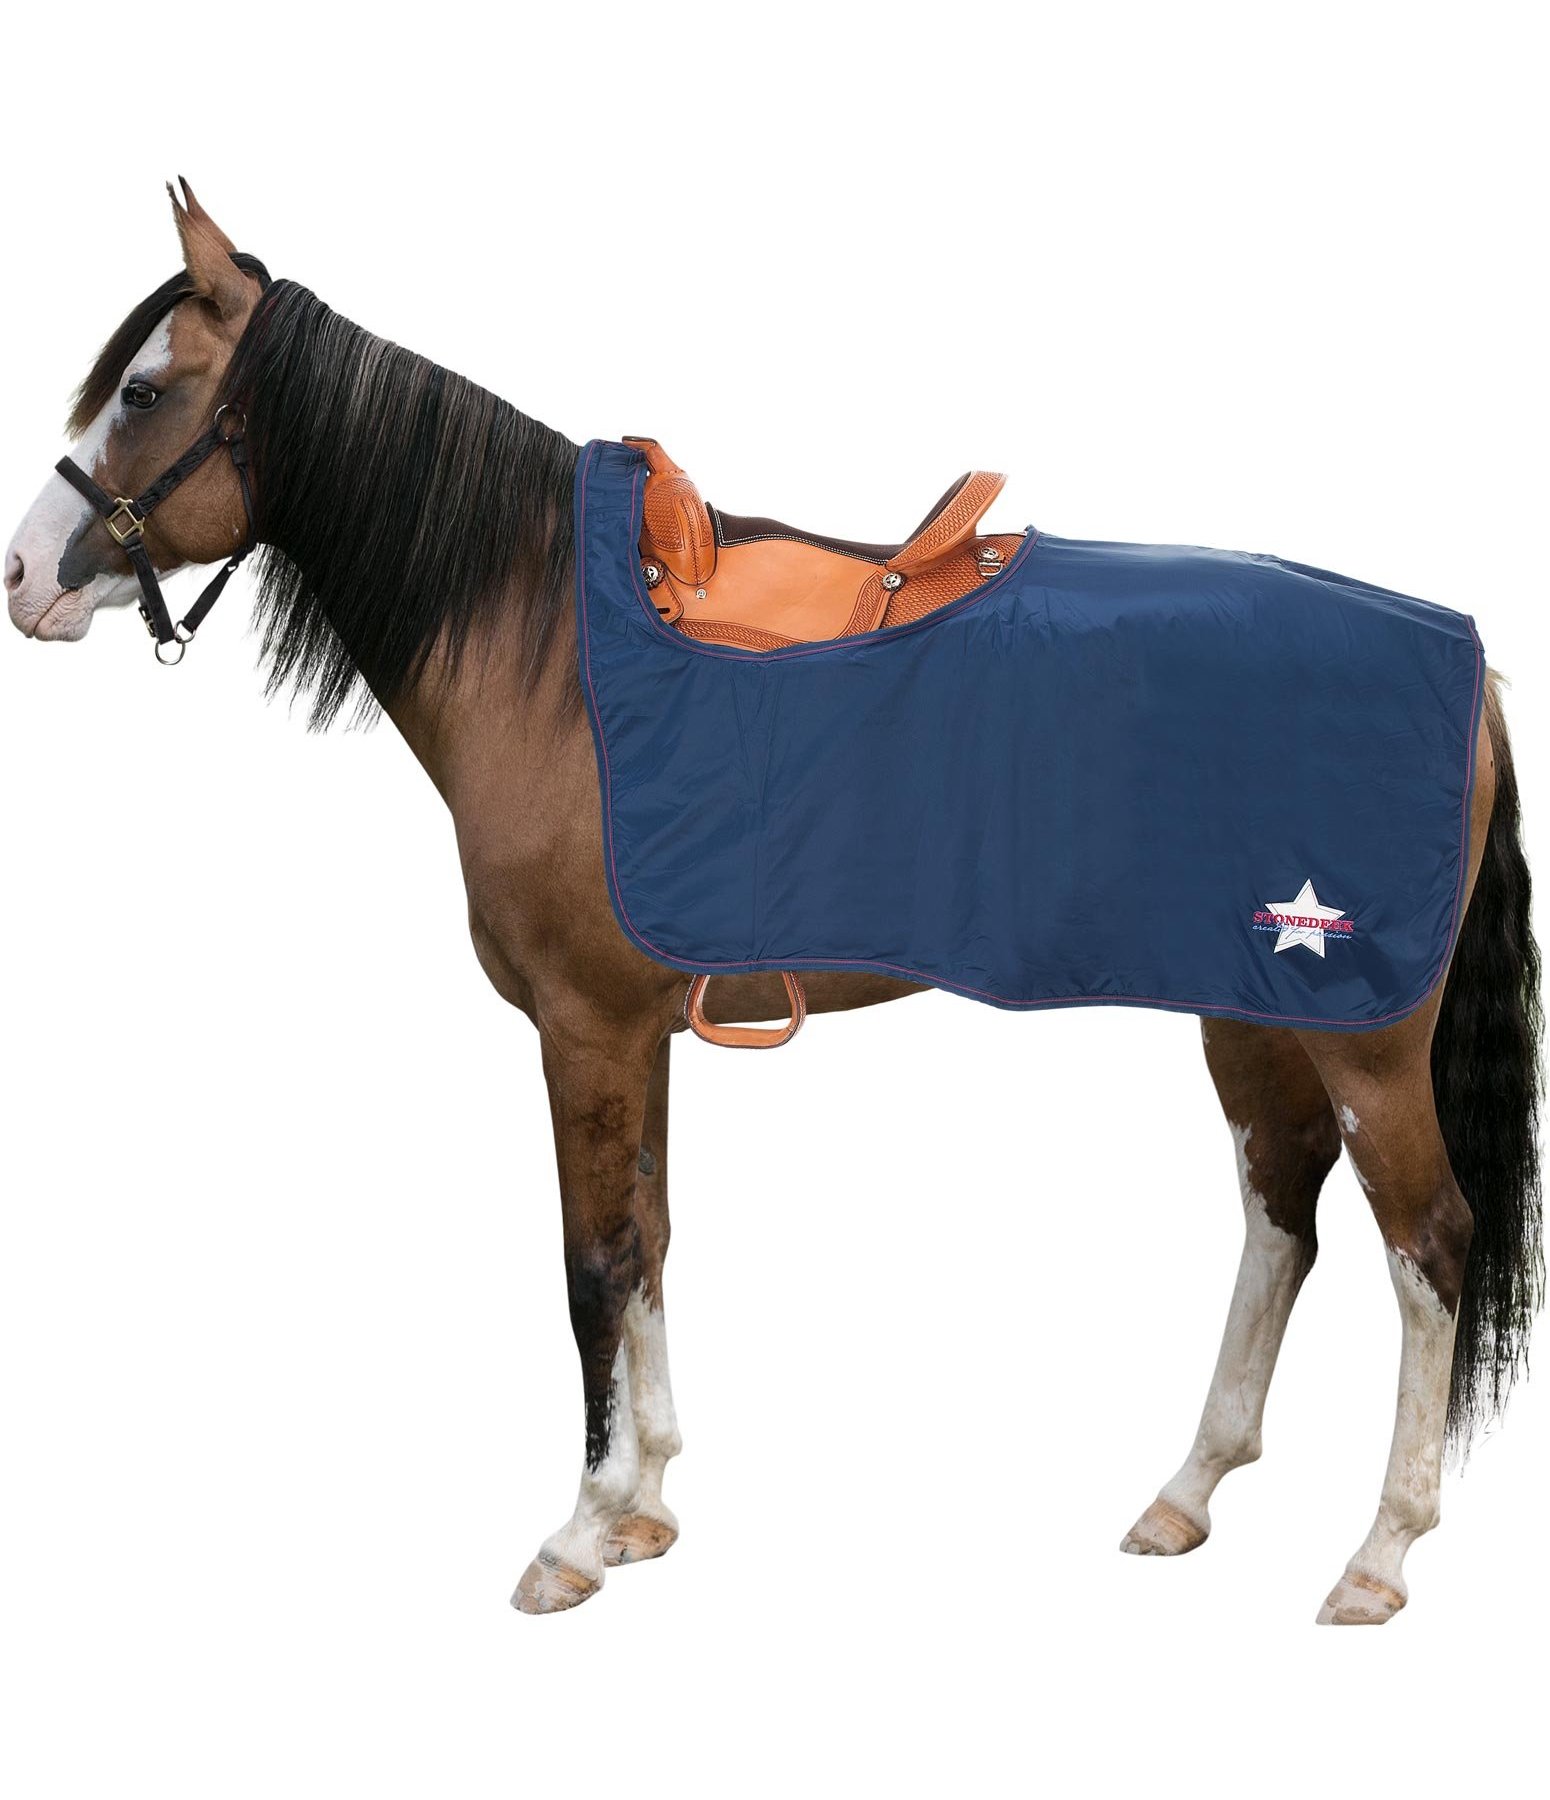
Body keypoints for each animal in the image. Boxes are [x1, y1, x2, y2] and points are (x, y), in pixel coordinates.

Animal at [6, 182, 1541, 1625]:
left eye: (144, 392)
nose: (21, 576)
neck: (549, 650)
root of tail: (1464, 666)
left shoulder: (583, 1030)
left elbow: (590, 1265)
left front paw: (576, 1536)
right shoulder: (635, 1035)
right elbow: (648, 1241)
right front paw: (645, 1506)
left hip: (1364, 1039)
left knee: (1426, 1244)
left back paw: (1378, 1556)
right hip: (1251, 1010)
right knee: (1281, 1211)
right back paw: (1187, 1490)